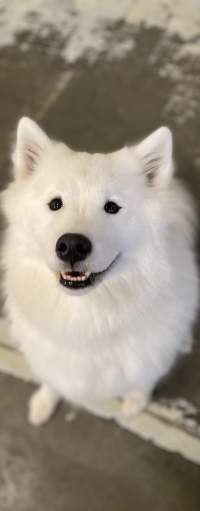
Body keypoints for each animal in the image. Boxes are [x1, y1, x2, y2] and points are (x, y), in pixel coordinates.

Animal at [1, 118, 198, 426]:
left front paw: (135, 404)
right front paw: (44, 402)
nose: (71, 246)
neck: (87, 315)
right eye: (55, 203)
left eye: (112, 207)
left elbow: (142, 380)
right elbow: (51, 379)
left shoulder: (148, 357)